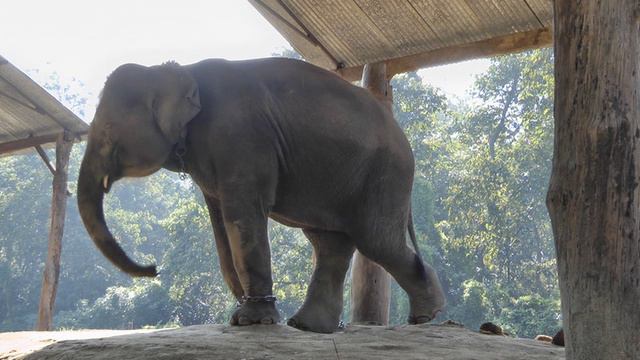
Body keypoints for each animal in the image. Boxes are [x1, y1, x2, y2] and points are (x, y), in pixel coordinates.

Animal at [79, 57, 444, 334]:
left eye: (108, 132)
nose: (154, 268)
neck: (178, 69)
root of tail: (402, 134)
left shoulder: (240, 138)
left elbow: (242, 215)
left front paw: (251, 321)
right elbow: (220, 224)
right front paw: (244, 314)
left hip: (386, 174)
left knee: (375, 241)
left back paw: (427, 315)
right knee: (330, 242)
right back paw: (308, 326)